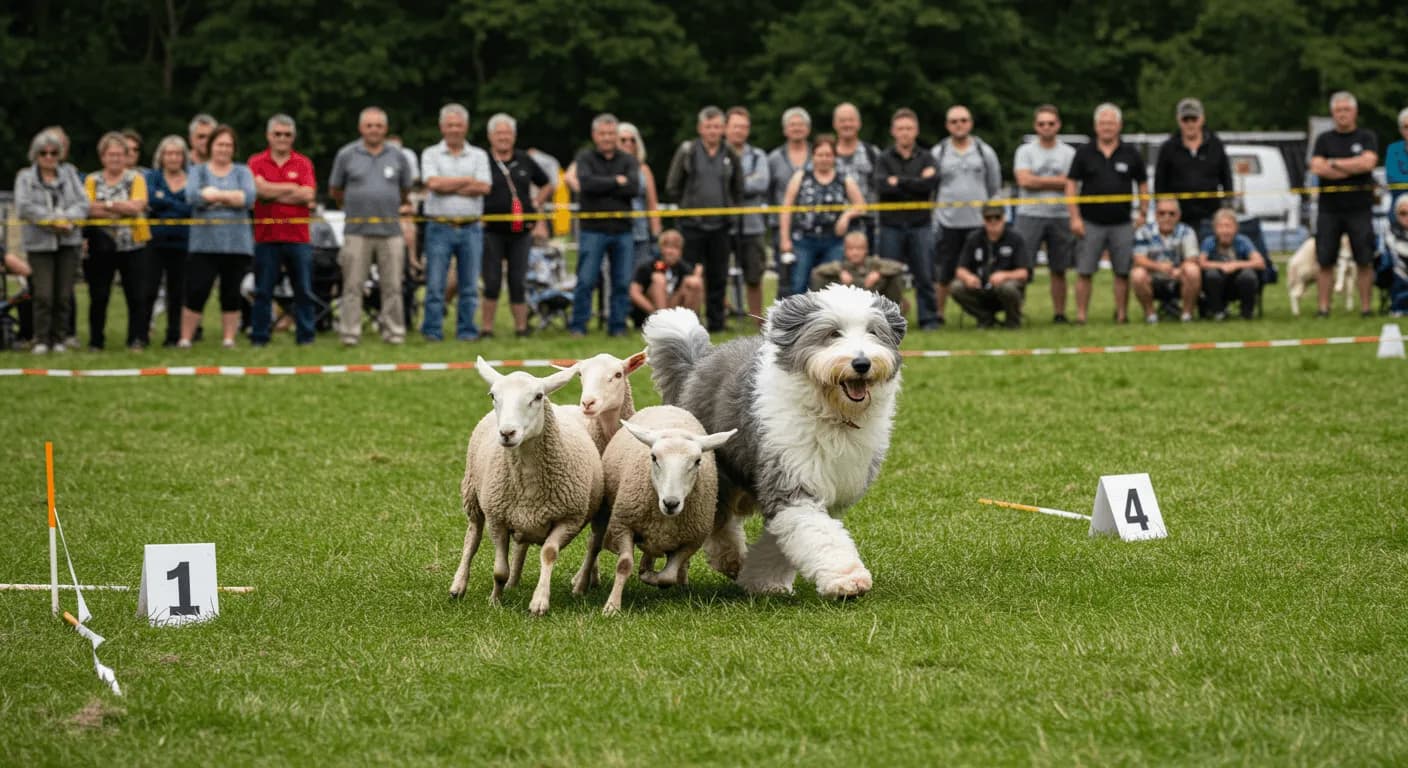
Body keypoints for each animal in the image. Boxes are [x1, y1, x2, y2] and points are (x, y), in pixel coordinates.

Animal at [449, 357, 604, 616]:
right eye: (493, 395)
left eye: (538, 396)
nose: (507, 433)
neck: (528, 479)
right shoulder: (497, 520)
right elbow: (499, 570)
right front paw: (495, 601)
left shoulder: (568, 519)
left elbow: (548, 553)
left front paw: (539, 602)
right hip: (473, 495)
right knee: (472, 538)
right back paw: (458, 585)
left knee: (520, 546)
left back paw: (514, 583)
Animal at [594, 405, 736, 615]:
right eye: (653, 458)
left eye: (698, 461)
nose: (671, 503)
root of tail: (667, 406)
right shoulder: (623, 525)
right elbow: (624, 565)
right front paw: (612, 607)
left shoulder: (691, 541)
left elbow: (668, 574)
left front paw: (651, 577)